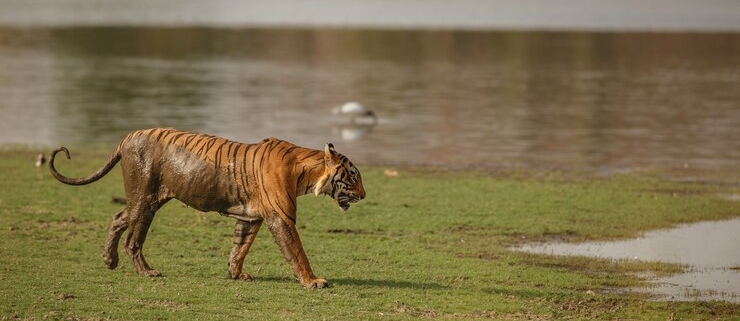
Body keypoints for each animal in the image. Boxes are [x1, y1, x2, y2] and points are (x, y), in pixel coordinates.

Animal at [47, 127, 366, 288]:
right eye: (353, 176)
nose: (363, 195)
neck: (306, 173)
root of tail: (128, 136)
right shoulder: (281, 218)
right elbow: (297, 252)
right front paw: (313, 281)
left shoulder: (251, 218)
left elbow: (239, 248)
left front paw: (236, 274)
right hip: (144, 200)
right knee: (132, 240)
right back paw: (147, 272)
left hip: (146, 199)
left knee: (117, 217)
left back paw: (109, 260)